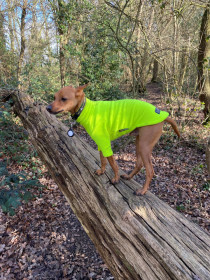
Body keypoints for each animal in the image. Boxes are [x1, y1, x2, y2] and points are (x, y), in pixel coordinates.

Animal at [46, 84, 180, 196]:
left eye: (63, 99)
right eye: (54, 97)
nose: (47, 108)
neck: (85, 109)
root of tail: (163, 114)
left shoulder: (106, 144)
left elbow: (113, 164)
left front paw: (115, 179)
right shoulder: (100, 143)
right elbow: (103, 160)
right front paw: (102, 171)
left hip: (144, 146)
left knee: (150, 171)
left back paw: (142, 190)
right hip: (139, 143)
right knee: (139, 164)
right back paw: (128, 177)